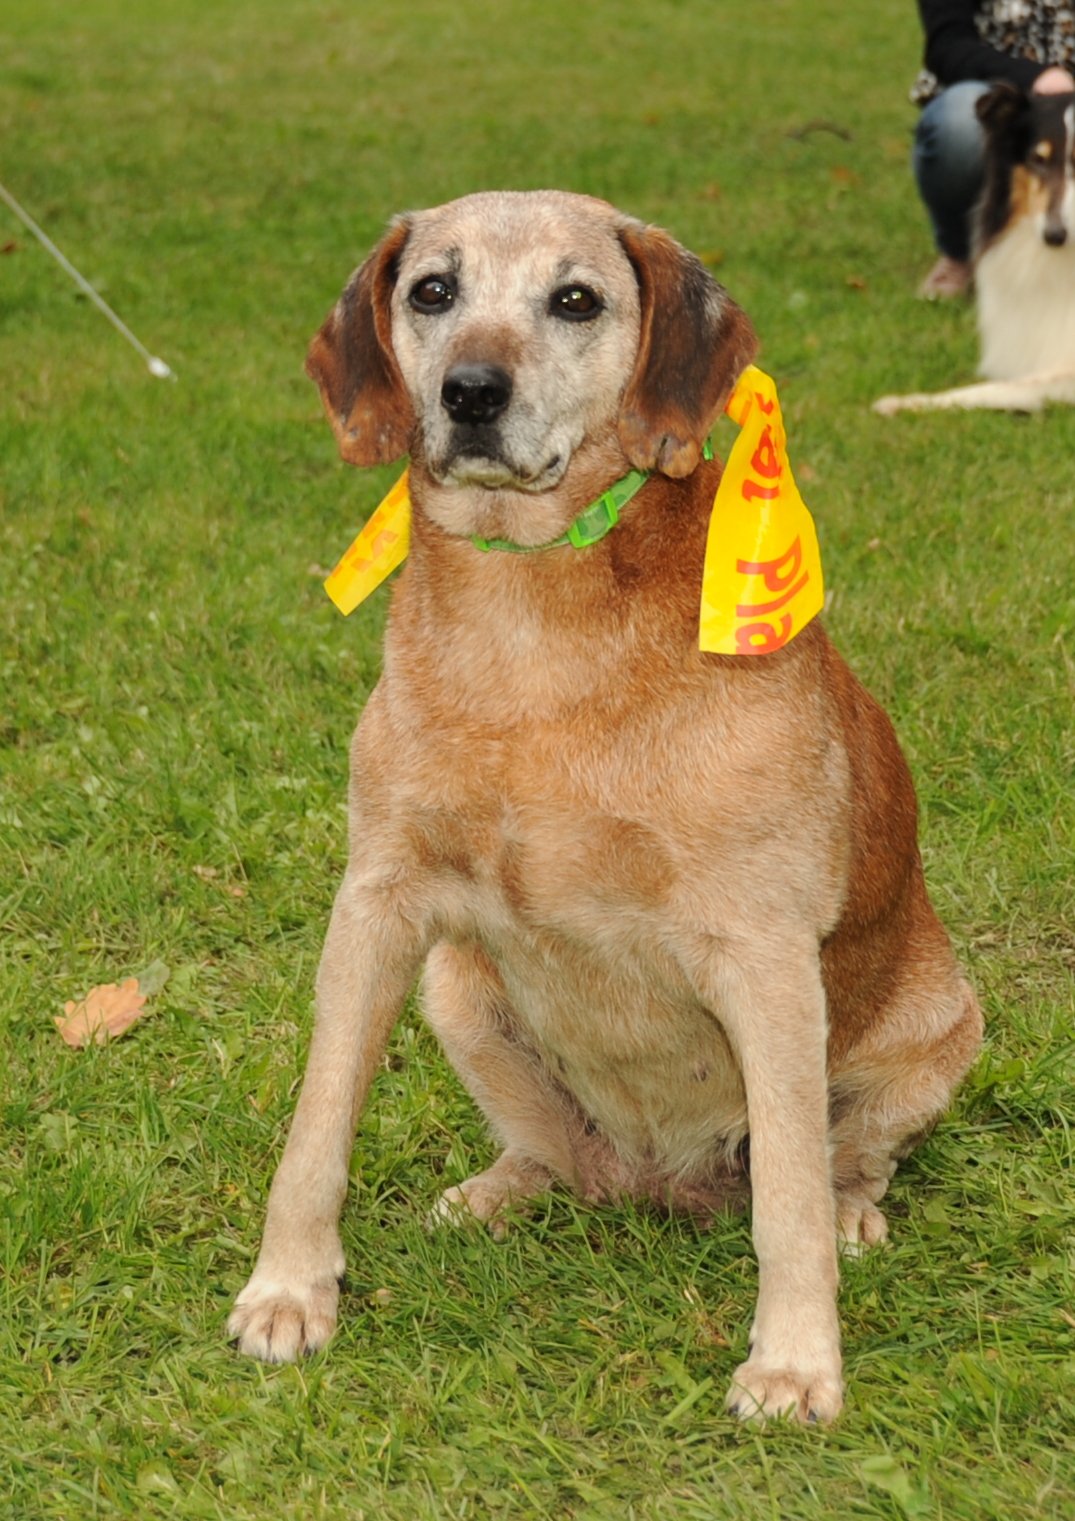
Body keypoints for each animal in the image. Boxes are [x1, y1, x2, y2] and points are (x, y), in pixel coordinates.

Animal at [229, 193, 985, 1423]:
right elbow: (317, 1121)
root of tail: (659, 1182)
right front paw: (290, 1289)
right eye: (432, 290)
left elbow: (785, 1200)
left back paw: (850, 1210)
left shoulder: (764, 952)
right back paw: (504, 1189)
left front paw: (794, 1360)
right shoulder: (378, 901)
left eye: (575, 298)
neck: (531, 622)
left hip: (936, 1033)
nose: (470, 392)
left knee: (836, 1163)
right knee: (556, 1156)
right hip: (460, 994)